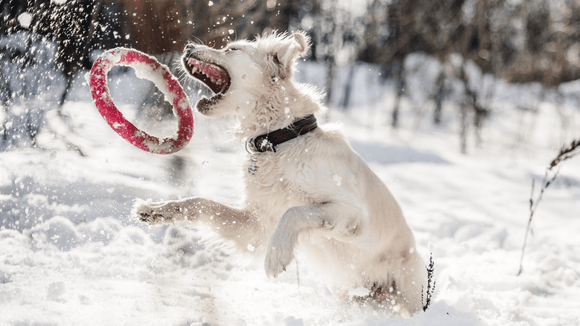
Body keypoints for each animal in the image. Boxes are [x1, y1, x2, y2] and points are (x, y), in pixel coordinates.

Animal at [134, 31, 428, 316]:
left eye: (231, 49)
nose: (187, 47)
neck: (280, 140)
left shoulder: (353, 213)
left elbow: (295, 211)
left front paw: (276, 255)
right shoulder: (257, 226)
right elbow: (200, 203)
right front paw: (156, 210)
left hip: (407, 291)